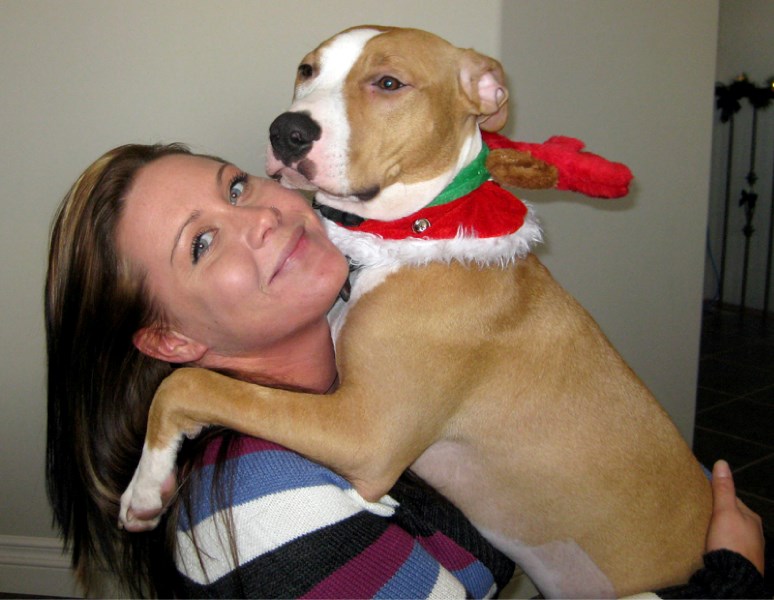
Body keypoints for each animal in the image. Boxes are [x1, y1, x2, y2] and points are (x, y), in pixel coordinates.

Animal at [123, 25, 716, 596]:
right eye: (307, 69)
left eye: (388, 83)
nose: (286, 131)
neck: (406, 236)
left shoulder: (365, 434)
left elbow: (190, 382)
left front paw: (145, 484)